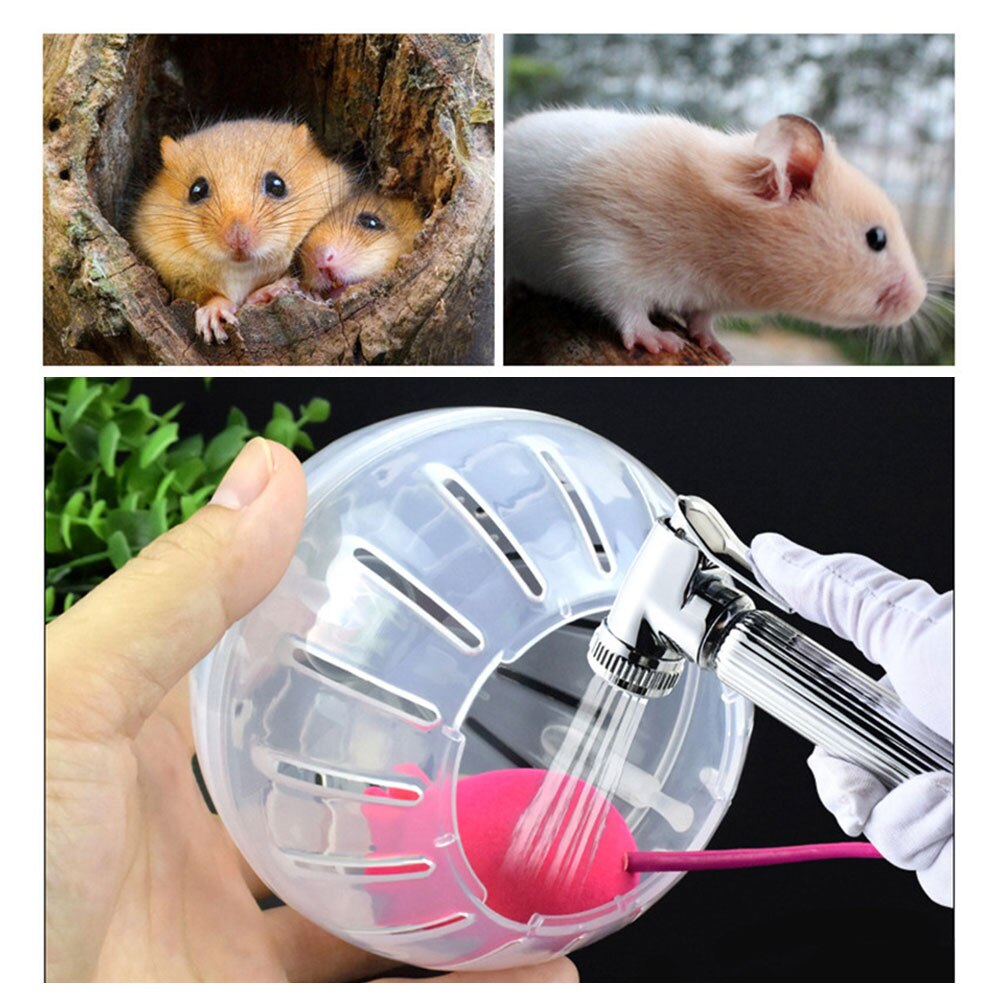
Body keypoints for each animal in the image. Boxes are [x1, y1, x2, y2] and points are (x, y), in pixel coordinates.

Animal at [132, 118, 350, 343]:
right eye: (196, 190)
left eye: (277, 184)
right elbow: (212, 296)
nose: (238, 240)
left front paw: (277, 288)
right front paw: (213, 316)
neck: (240, 268)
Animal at [504, 109, 927, 364]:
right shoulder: (605, 249)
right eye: (876, 239)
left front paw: (718, 348)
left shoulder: (708, 295)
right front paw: (662, 341)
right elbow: (626, 305)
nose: (919, 299)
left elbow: (703, 317)